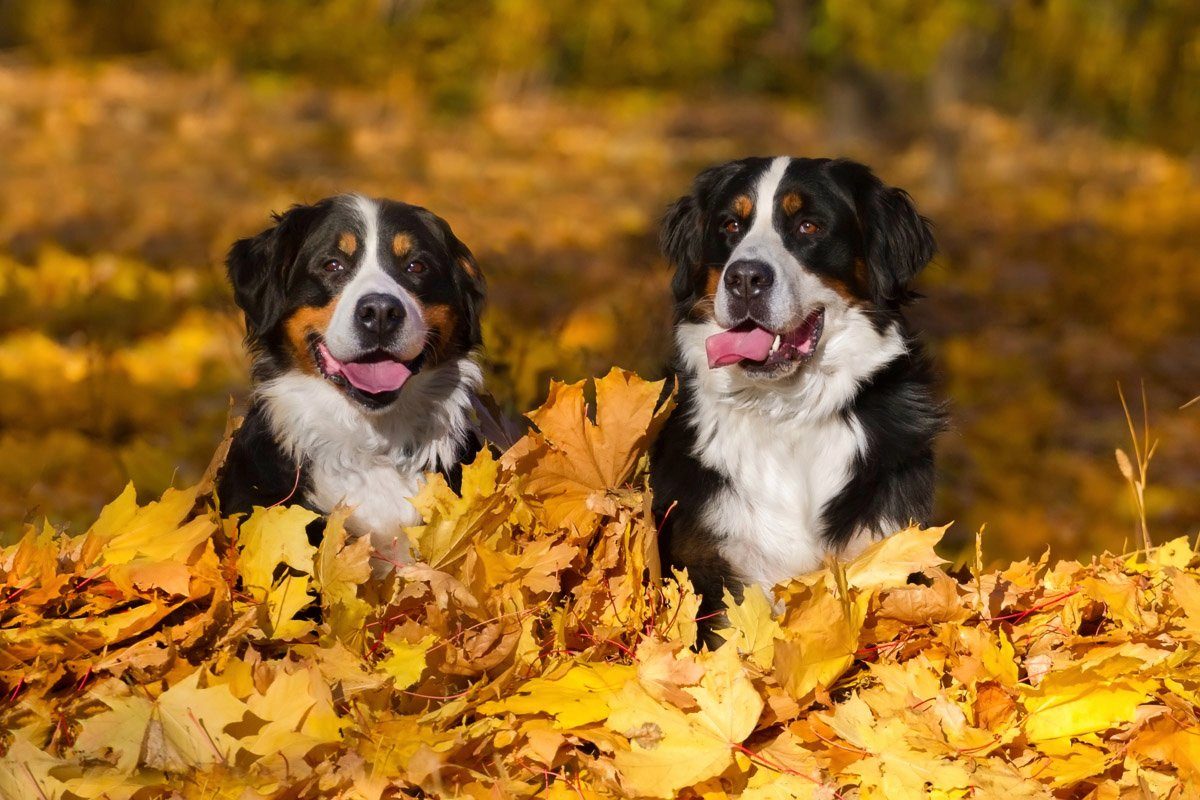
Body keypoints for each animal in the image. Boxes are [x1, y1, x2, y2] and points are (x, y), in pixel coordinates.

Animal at [652, 154, 940, 618]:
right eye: (730, 225)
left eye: (809, 226)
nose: (744, 278)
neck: (786, 411)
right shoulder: (710, 563)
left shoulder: (886, 543)